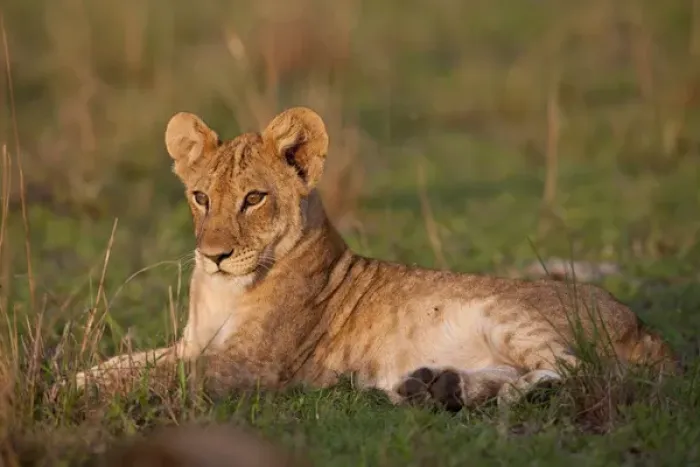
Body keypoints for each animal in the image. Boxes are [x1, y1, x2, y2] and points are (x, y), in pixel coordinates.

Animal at [70, 107, 677, 411]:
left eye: (254, 198)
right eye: (200, 197)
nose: (212, 255)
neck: (221, 290)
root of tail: (644, 325)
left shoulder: (250, 365)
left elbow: (157, 377)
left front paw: (62, 393)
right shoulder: (192, 342)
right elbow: (124, 362)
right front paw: (71, 376)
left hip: (509, 315)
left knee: (573, 368)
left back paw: (500, 394)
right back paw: (437, 388)